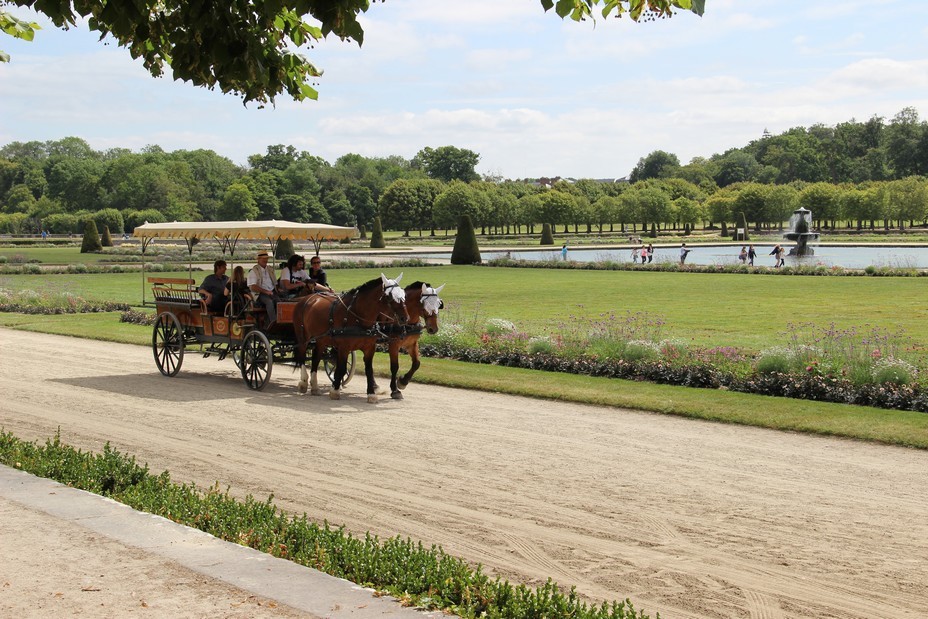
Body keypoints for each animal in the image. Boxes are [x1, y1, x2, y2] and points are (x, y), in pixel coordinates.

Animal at [290, 274, 406, 402]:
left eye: (403, 294)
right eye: (390, 297)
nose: (405, 318)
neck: (357, 316)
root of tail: (306, 299)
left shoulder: (369, 348)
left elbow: (369, 370)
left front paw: (371, 393)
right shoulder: (344, 347)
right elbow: (341, 368)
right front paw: (335, 390)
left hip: (321, 340)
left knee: (316, 358)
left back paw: (315, 386)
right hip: (303, 337)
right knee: (302, 356)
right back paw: (304, 382)